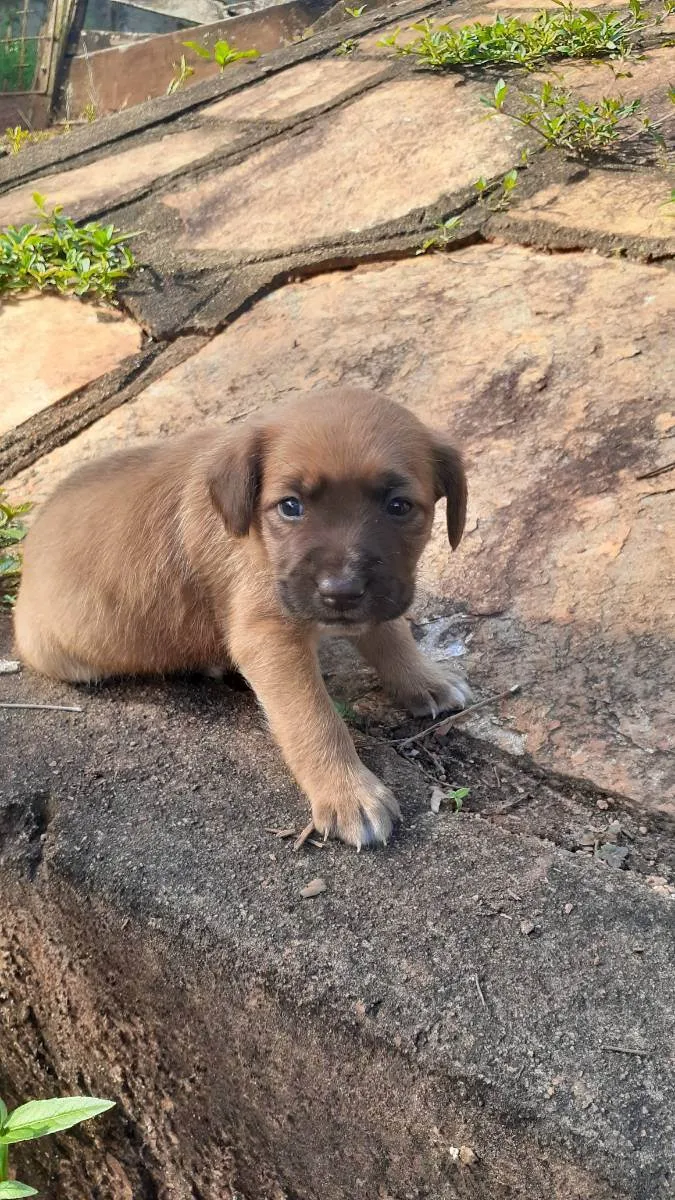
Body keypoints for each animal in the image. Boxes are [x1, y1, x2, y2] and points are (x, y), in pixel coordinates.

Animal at [14, 388, 468, 849]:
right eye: (290, 506)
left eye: (399, 506)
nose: (340, 592)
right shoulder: (269, 636)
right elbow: (315, 719)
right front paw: (348, 792)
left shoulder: (383, 593)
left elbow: (392, 634)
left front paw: (426, 681)